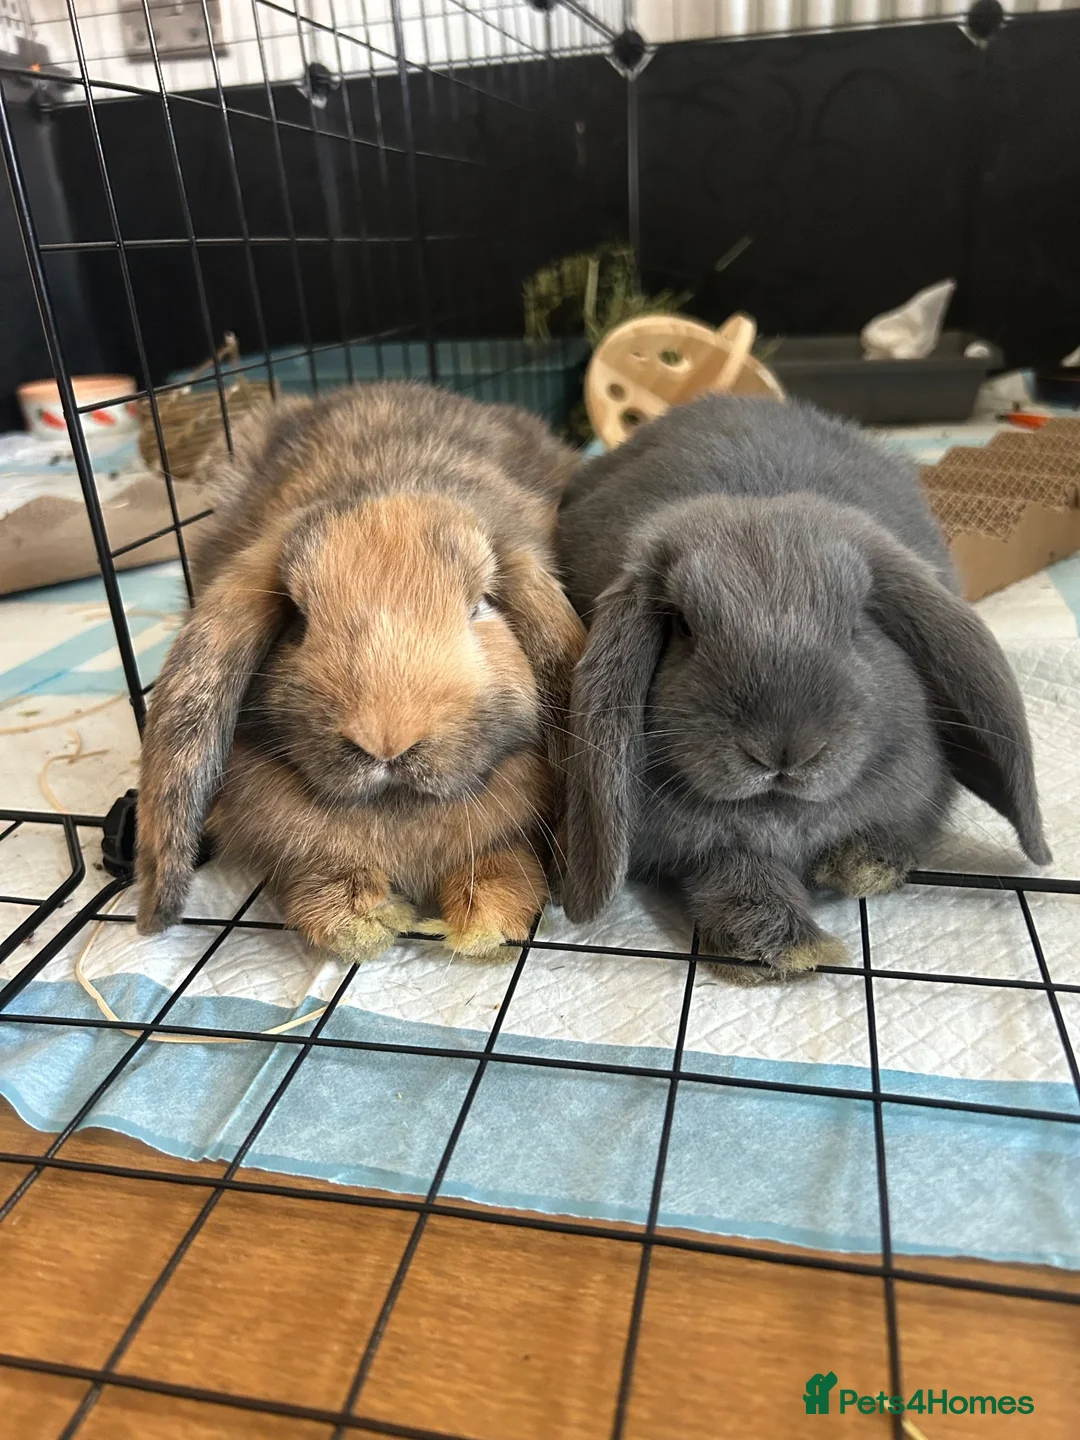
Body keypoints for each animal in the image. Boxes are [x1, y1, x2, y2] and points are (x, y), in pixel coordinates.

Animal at [135, 382, 586, 959]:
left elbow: (502, 863)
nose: (386, 740)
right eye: (297, 618)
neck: (398, 809)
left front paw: (484, 922)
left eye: (482, 605)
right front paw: (361, 923)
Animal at [558, 394, 1050, 976]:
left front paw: (859, 868)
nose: (783, 749)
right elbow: (739, 876)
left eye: (858, 623)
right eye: (683, 627)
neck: (783, 811)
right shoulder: (707, 852)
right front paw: (790, 950)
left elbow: (887, 833)